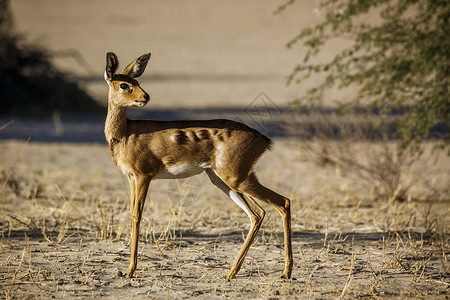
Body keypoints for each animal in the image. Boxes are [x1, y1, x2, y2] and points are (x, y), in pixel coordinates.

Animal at [103, 52, 294, 280]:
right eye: (124, 84)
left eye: (136, 82)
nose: (145, 97)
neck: (125, 134)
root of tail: (262, 138)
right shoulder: (132, 177)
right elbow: (133, 214)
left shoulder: (143, 176)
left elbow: (136, 215)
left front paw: (130, 270)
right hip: (224, 181)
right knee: (258, 214)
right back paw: (232, 272)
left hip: (236, 179)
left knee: (283, 202)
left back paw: (286, 271)